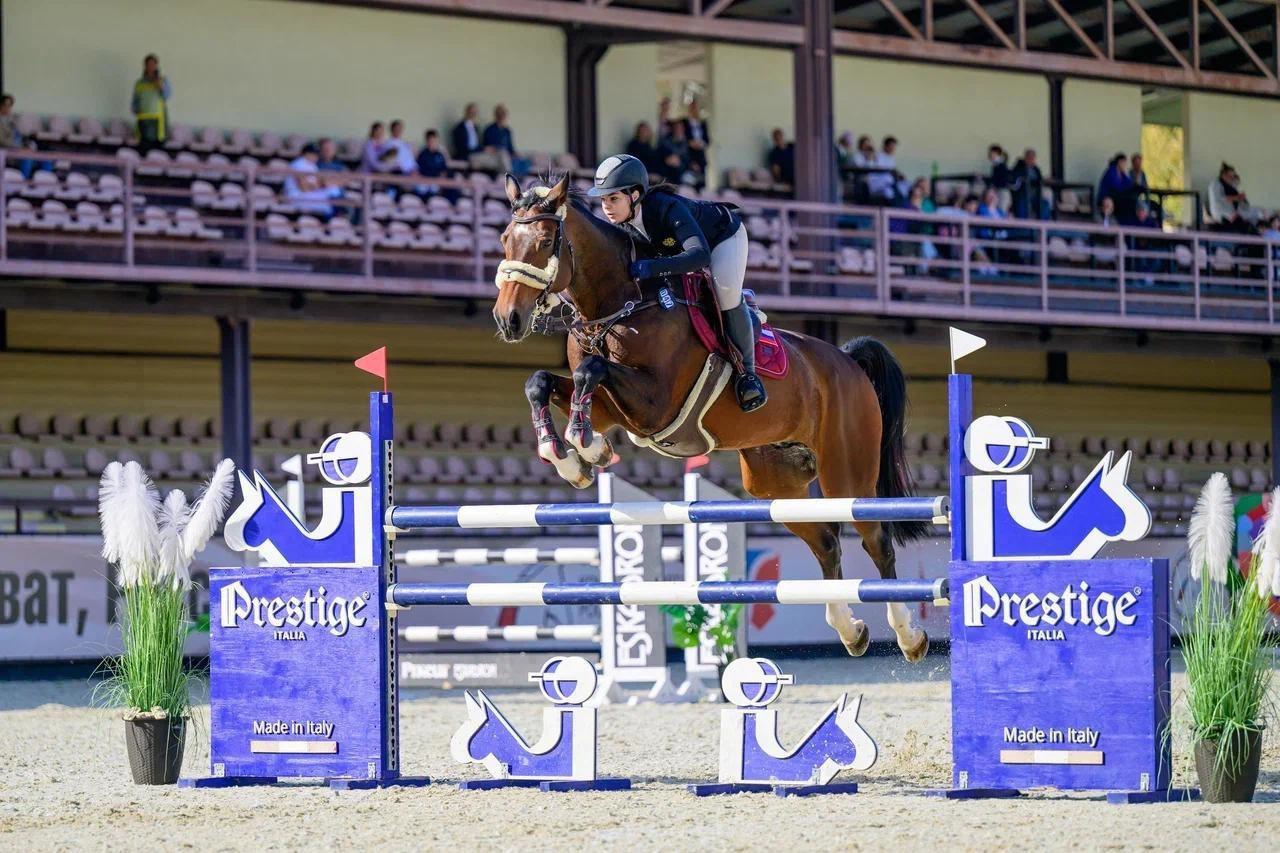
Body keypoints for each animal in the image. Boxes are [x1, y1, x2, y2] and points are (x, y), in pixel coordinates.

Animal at [488, 172, 931, 660]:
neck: (620, 303)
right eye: (506, 239)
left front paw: (586, 447)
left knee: (874, 539)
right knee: (827, 542)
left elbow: (591, 370)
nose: (508, 320)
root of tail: (848, 361)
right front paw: (572, 456)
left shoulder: (655, 404)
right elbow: (542, 383)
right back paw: (851, 631)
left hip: (846, 472)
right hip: (775, 483)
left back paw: (909, 636)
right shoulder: (610, 406)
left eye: (546, 241)